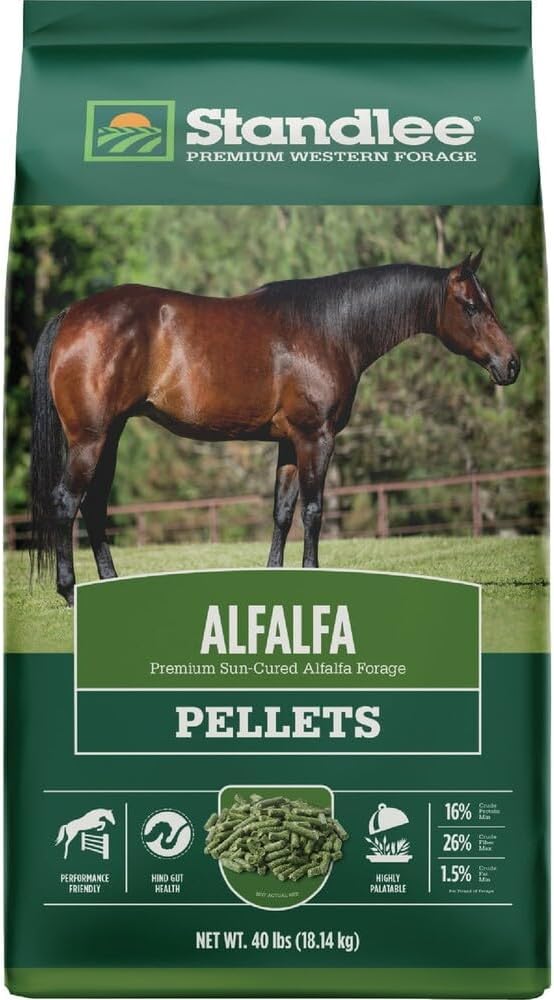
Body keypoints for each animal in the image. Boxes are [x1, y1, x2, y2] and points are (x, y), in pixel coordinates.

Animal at [30, 249, 519, 606]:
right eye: (471, 306)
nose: (511, 364)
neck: (330, 327)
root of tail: (71, 315)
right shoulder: (315, 437)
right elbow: (313, 511)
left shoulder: (288, 443)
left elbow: (282, 512)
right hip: (90, 440)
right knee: (66, 502)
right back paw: (69, 592)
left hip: (110, 436)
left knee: (93, 506)